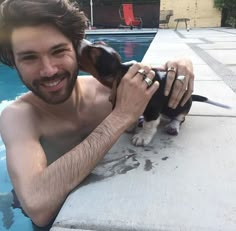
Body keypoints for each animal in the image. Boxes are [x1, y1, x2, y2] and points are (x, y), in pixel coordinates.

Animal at [78, 38, 230, 145]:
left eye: (91, 54)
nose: (79, 40)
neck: (123, 69)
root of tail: (191, 96)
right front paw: (131, 125)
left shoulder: (152, 108)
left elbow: (149, 124)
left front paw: (142, 138)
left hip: (182, 106)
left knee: (180, 118)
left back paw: (173, 126)